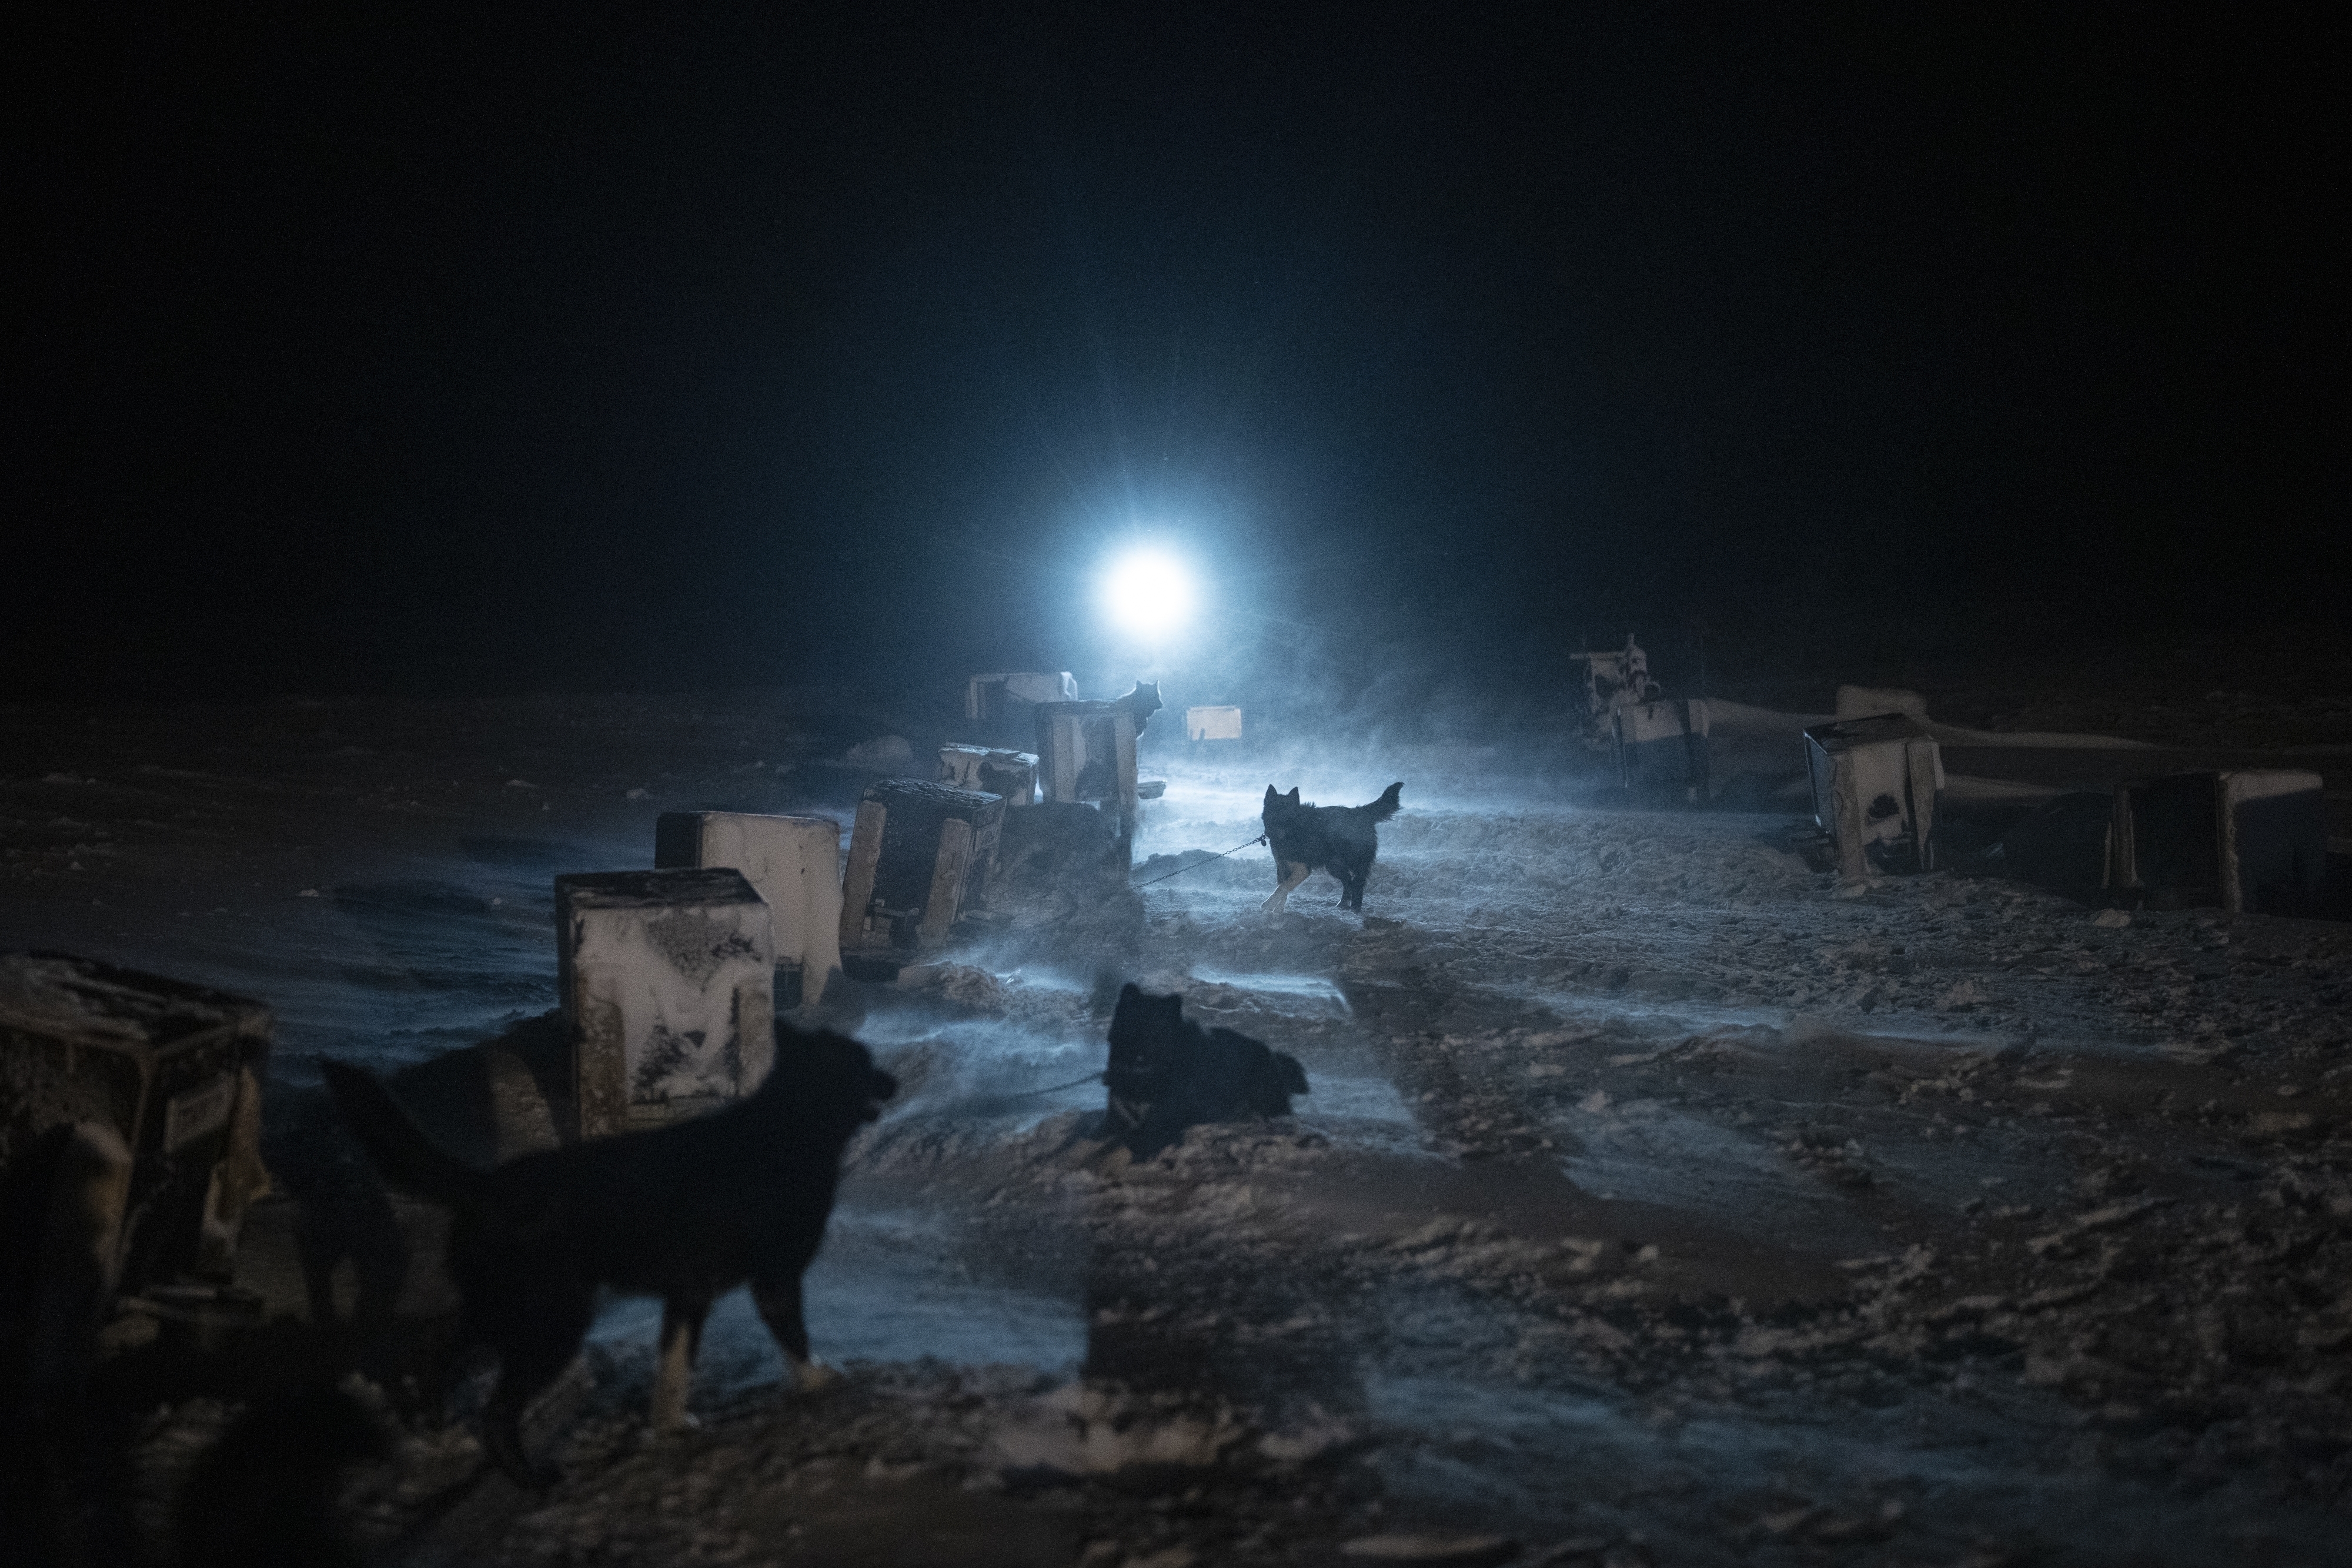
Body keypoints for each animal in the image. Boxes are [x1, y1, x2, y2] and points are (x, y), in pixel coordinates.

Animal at [322, 1025, 889, 1495]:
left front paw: (669, 1427)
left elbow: (673, 1367)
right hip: (550, 1322)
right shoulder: (775, 1281)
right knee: (496, 1413)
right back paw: (531, 1479)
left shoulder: (689, 1293)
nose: (897, 1082)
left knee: (436, 1350)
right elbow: (795, 1338)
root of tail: (486, 1185)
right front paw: (820, 1382)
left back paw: (434, 1427)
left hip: (507, 1310)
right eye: (866, 1062)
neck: (790, 1124)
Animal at [1261, 780, 1402, 912]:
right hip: (1335, 866)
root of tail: (1360, 812)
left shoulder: (1303, 869)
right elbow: (1282, 890)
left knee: (1357, 885)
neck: (1294, 831)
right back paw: (1343, 904)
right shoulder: (1282, 867)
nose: (1270, 833)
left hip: (1355, 865)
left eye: (1287, 816)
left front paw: (1268, 905)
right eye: (1271, 813)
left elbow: (1282, 888)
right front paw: (1277, 911)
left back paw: (1355, 909)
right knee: (1348, 881)